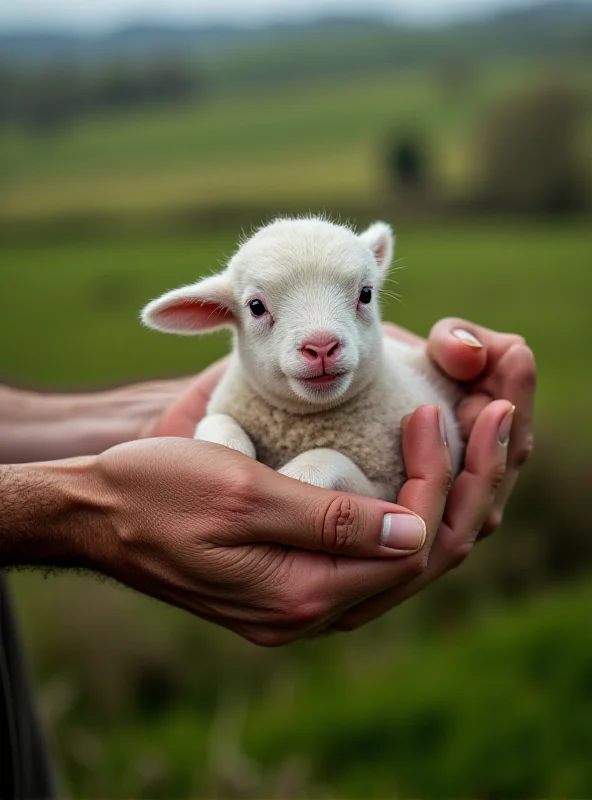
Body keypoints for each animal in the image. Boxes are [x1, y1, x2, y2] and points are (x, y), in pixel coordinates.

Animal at [142, 216, 462, 504]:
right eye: (255, 306)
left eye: (366, 294)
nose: (321, 346)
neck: (301, 420)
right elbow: (217, 422)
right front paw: (228, 451)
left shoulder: (387, 486)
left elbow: (329, 459)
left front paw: (298, 475)